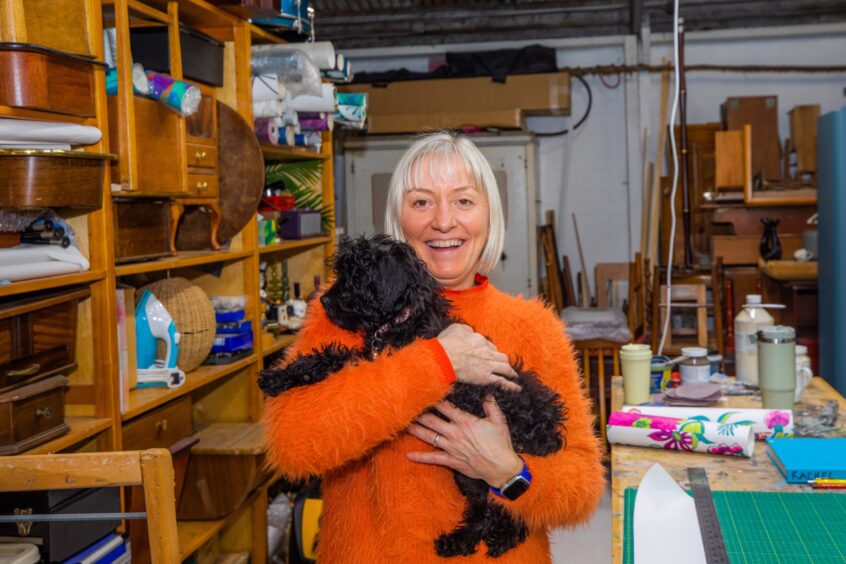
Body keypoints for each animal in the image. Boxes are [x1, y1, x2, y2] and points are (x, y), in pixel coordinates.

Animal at [255, 235, 568, 560]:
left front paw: (280, 376)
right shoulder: (370, 357)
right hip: (468, 474)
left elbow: (334, 358)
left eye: (357, 275)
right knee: (484, 508)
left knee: (507, 509)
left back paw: (496, 539)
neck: (401, 320)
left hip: (492, 463)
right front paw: (283, 375)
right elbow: (329, 358)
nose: (324, 301)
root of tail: (550, 432)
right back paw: (462, 541)